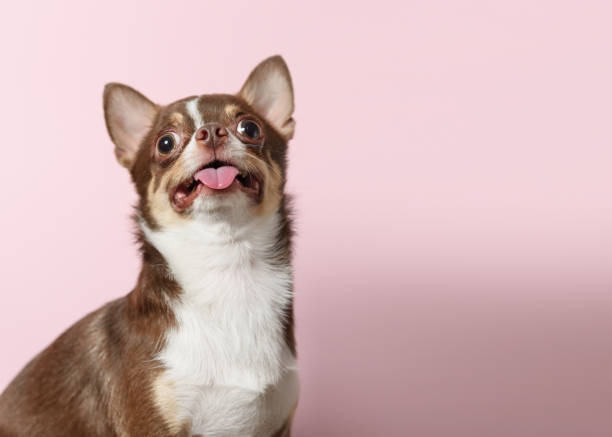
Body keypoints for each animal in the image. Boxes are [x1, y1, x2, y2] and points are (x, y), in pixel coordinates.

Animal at [0, 56, 298, 434]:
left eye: (250, 128)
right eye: (166, 143)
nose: (211, 131)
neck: (227, 266)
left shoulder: (279, 425)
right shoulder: (150, 425)